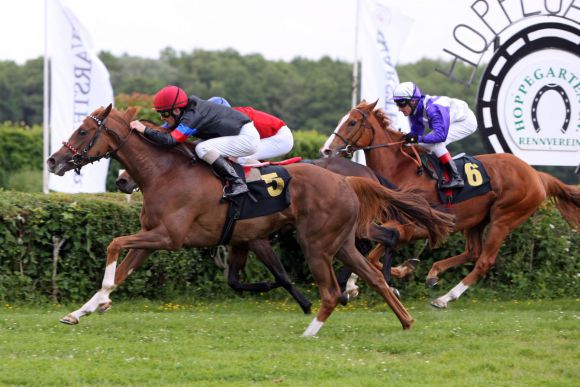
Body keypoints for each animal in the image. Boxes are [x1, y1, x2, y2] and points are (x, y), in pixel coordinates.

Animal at [45, 104, 454, 334]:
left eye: (83, 130)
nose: (53, 160)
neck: (165, 172)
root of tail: (347, 178)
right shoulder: (154, 237)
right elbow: (121, 272)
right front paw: (84, 310)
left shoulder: (169, 237)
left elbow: (114, 245)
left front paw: (97, 302)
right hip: (341, 242)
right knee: (373, 272)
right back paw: (402, 317)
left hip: (318, 243)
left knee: (339, 284)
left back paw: (317, 324)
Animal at [322, 100, 580, 310]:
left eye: (352, 122)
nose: (327, 150)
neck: (402, 170)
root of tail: (536, 174)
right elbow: (373, 253)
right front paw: (369, 281)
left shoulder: (411, 227)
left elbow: (375, 253)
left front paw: (374, 282)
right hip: (476, 220)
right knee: (473, 251)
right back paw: (434, 274)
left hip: (504, 218)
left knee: (484, 260)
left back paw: (445, 298)